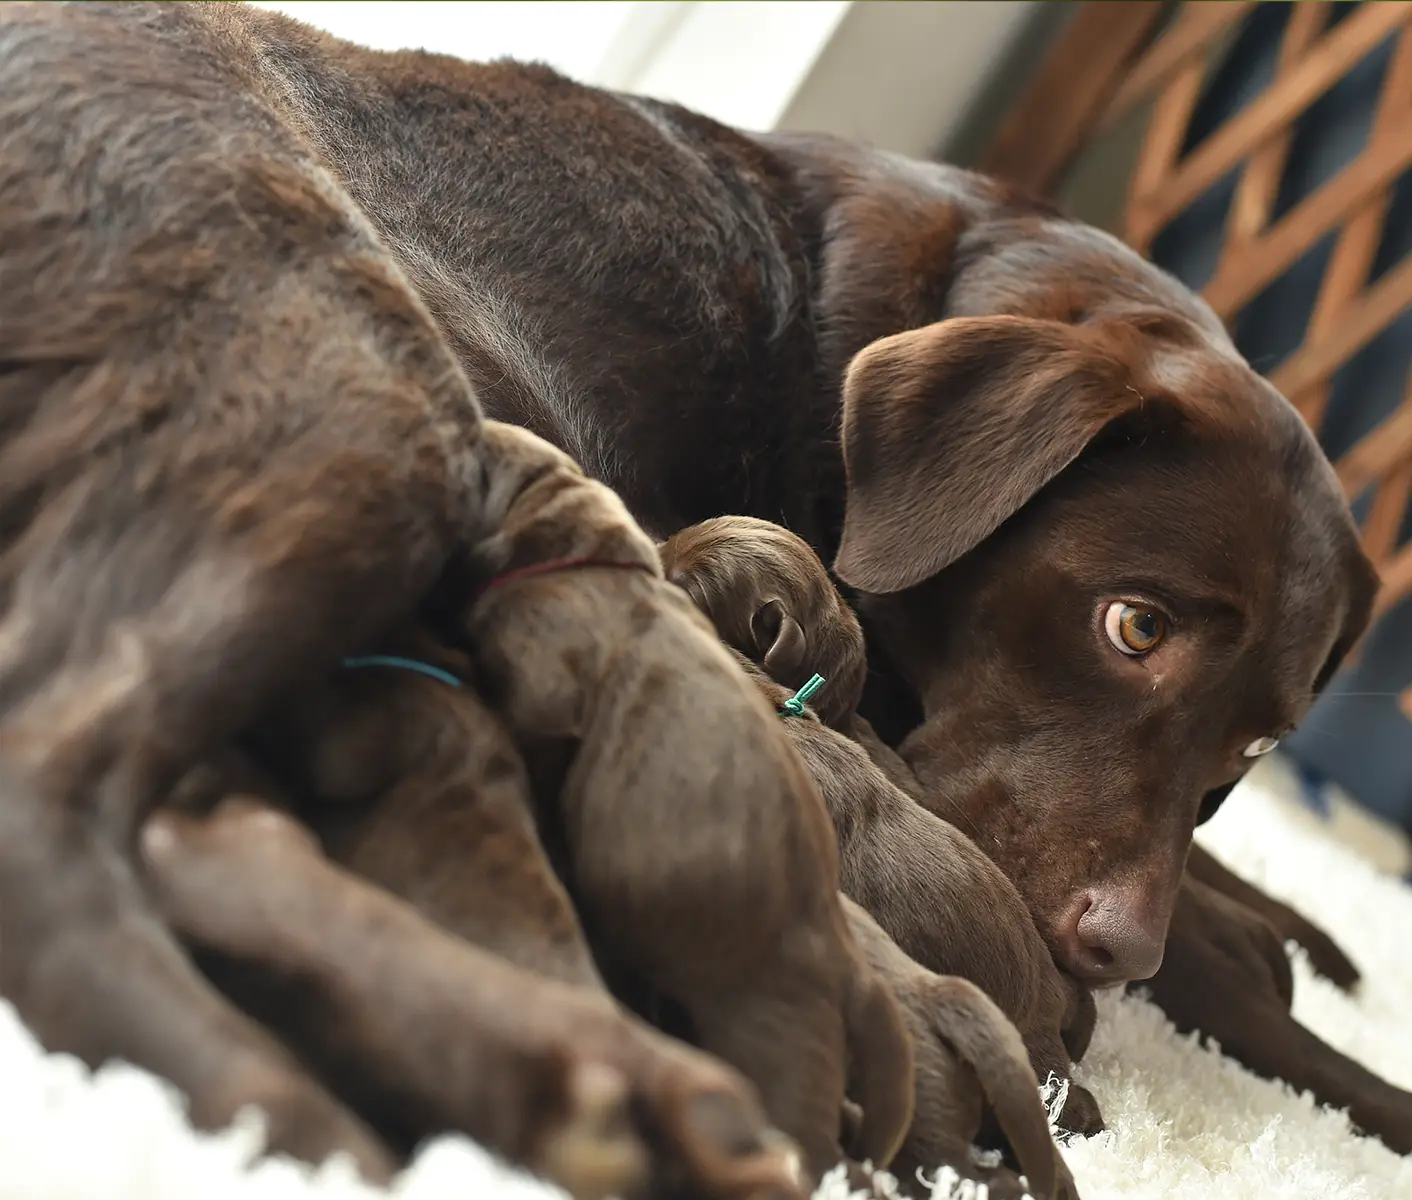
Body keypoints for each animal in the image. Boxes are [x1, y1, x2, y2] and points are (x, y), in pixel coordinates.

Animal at [0, 0, 1406, 1157]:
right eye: (1134, 626)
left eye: (1252, 751)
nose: (1116, 945)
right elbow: (1248, 1008)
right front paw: (1336, 1052)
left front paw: (1286, 929)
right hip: (361, 406)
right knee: (60, 805)